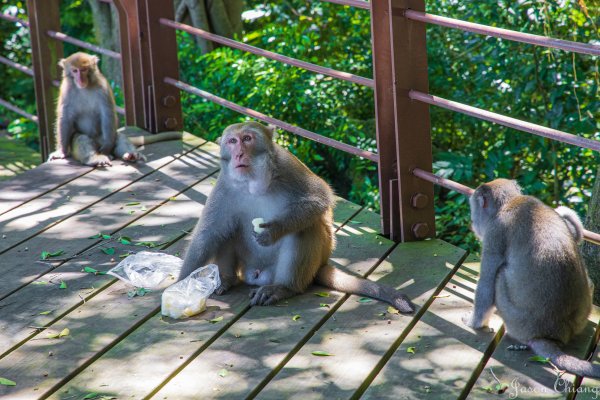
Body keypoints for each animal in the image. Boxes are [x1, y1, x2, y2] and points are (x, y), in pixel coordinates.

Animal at [47, 52, 180, 166]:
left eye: (84, 70)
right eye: (75, 71)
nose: (80, 79)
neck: (84, 88)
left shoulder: (103, 87)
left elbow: (107, 114)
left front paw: (107, 148)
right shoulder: (65, 91)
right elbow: (65, 118)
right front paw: (61, 151)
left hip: (107, 136)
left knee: (119, 138)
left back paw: (130, 155)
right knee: (80, 138)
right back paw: (94, 159)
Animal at [176, 121, 414, 312]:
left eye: (247, 139)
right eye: (232, 141)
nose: (239, 154)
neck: (253, 182)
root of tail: (258, 274)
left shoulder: (287, 166)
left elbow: (320, 198)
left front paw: (273, 231)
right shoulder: (224, 186)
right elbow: (208, 234)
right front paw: (180, 284)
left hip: (306, 262)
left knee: (306, 227)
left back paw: (282, 288)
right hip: (246, 265)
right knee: (226, 230)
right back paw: (227, 279)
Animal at [466, 179, 600, 378]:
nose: (473, 221)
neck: (511, 203)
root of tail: (553, 334)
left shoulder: (494, 234)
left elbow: (486, 287)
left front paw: (473, 323)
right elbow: (573, 232)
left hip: (516, 322)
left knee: (499, 275)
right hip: (583, 315)